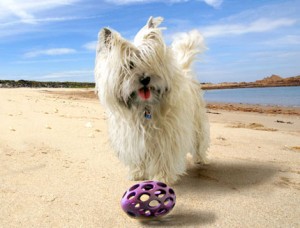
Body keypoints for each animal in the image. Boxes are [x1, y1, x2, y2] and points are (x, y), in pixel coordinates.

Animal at [95, 16, 210, 184]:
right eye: (130, 64)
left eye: (149, 61)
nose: (145, 79)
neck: (144, 107)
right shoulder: (132, 136)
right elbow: (137, 156)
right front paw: (137, 173)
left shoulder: (167, 135)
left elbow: (164, 157)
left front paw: (162, 177)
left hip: (197, 122)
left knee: (200, 142)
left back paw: (201, 159)